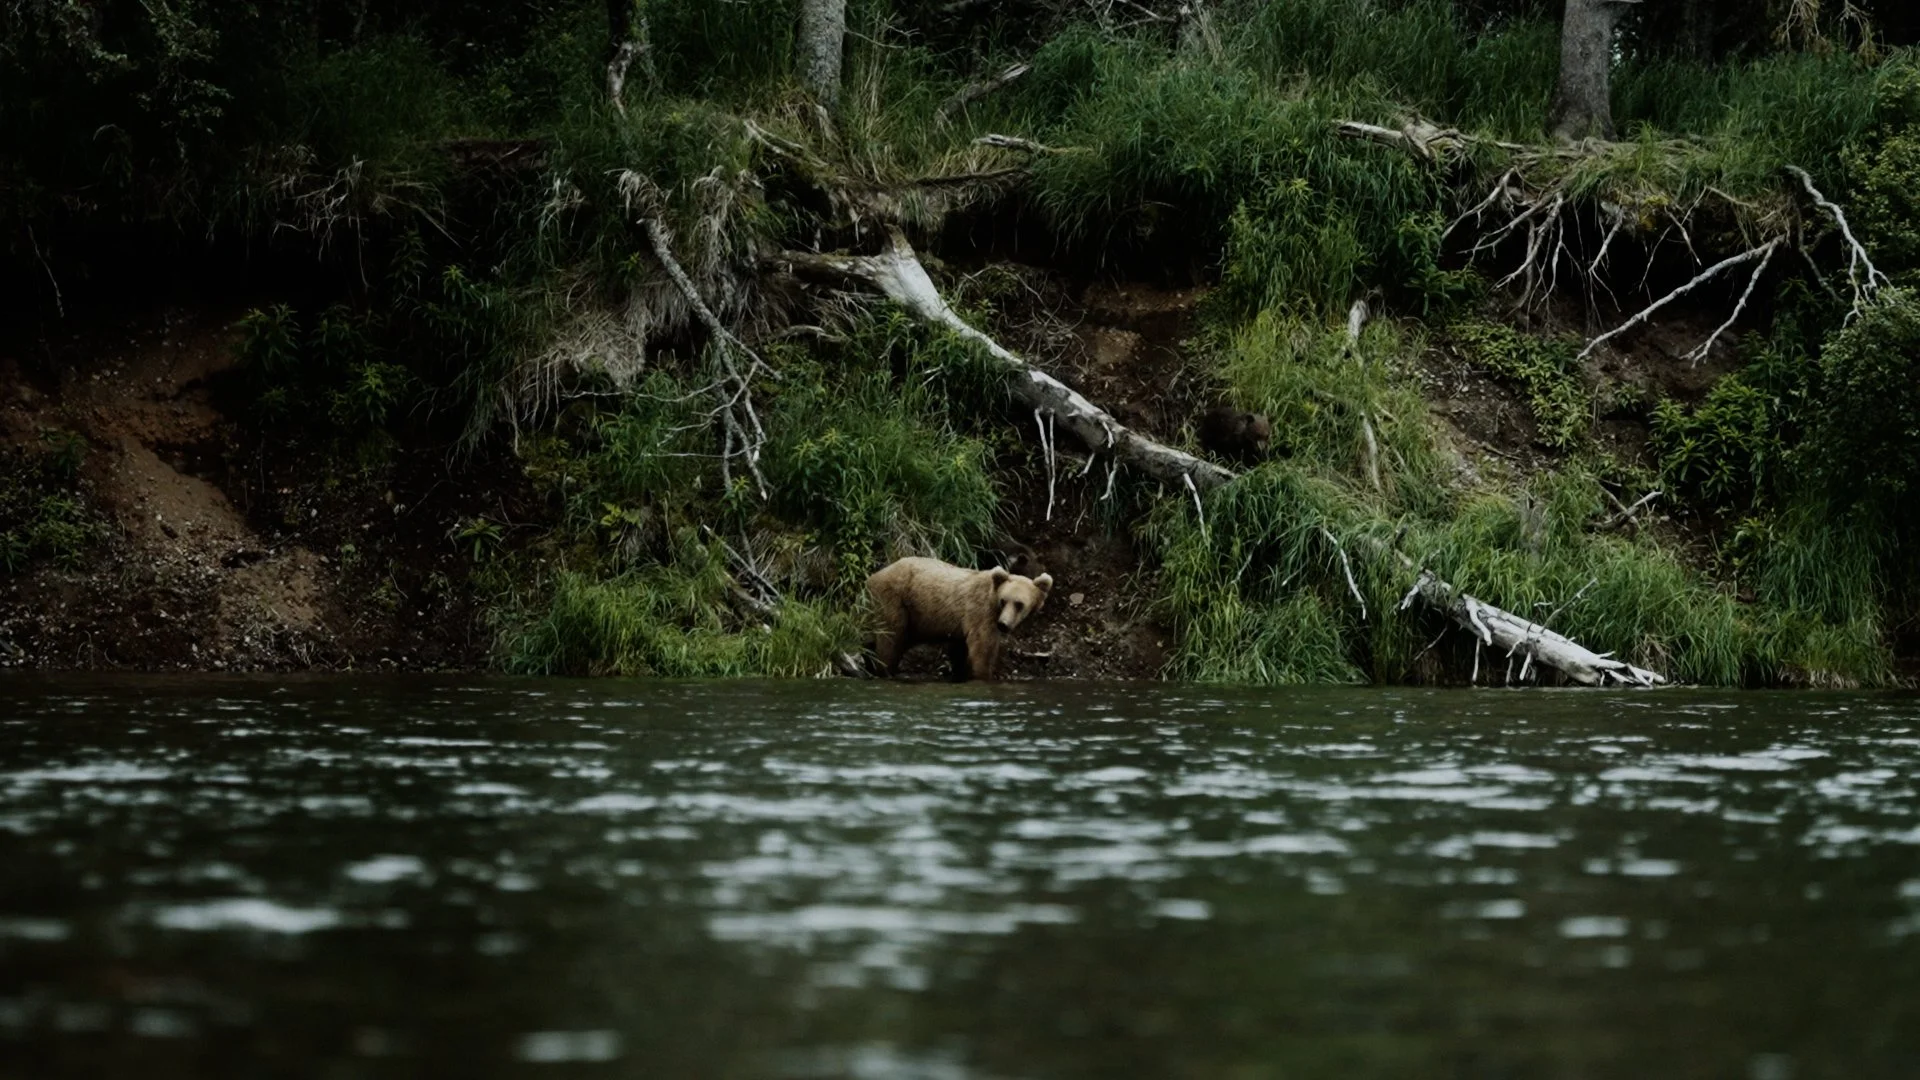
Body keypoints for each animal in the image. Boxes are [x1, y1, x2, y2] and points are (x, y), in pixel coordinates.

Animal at [867, 556, 1053, 682]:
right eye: (1004, 600)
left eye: (1019, 604)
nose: (1003, 624)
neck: (992, 599)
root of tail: (874, 575)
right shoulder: (980, 613)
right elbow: (982, 647)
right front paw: (984, 675)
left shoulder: (960, 627)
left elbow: (959, 650)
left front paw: (959, 673)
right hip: (894, 600)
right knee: (890, 637)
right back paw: (885, 671)